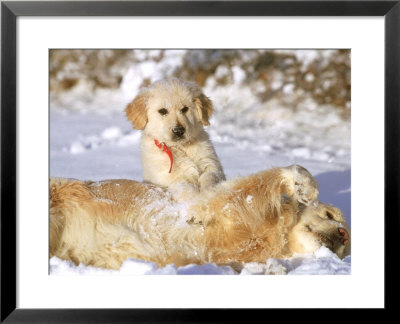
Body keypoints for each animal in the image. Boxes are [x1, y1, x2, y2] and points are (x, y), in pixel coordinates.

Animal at [49, 166, 350, 270]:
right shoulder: (214, 203)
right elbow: (272, 176)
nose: (343, 234)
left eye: (346, 248)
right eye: (330, 214)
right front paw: (303, 185)